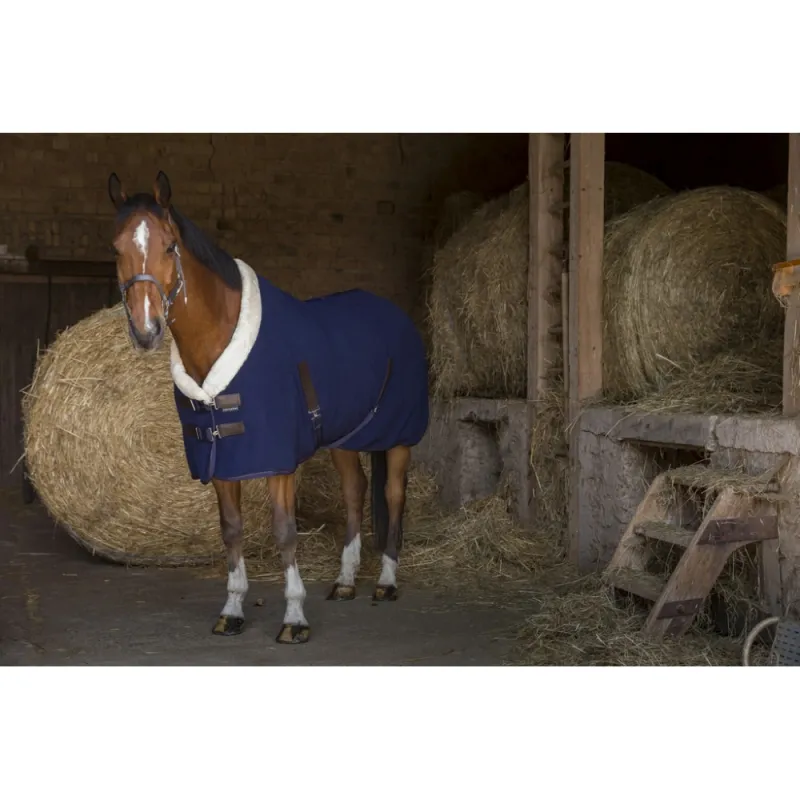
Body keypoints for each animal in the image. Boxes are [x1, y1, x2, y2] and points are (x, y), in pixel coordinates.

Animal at [107, 170, 429, 645]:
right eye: (117, 248)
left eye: (168, 246)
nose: (146, 331)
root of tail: (394, 315)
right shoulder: (223, 460)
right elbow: (231, 529)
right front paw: (232, 609)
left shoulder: (278, 462)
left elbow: (284, 531)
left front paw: (294, 617)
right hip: (345, 437)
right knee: (354, 493)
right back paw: (346, 581)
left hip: (399, 435)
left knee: (393, 494)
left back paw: (386, 581)